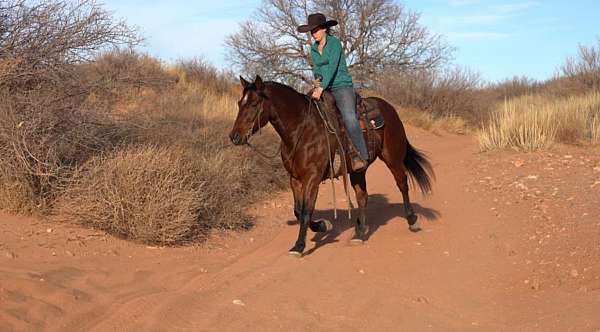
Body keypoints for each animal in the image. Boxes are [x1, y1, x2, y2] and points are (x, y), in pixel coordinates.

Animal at [229, 75, 432, 256]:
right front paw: (323, 225)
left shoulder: (313, 177)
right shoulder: (295, 179)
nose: (234, 137)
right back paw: (360, 233)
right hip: (357, 170)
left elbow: (306, 211)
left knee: (402, 184)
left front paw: (299, 246)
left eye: (254, 104)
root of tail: (389, 108)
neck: (301, 130)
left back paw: (412, 220)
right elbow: (298, 210)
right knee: (362, 197)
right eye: (239, 103)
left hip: (393, 158)